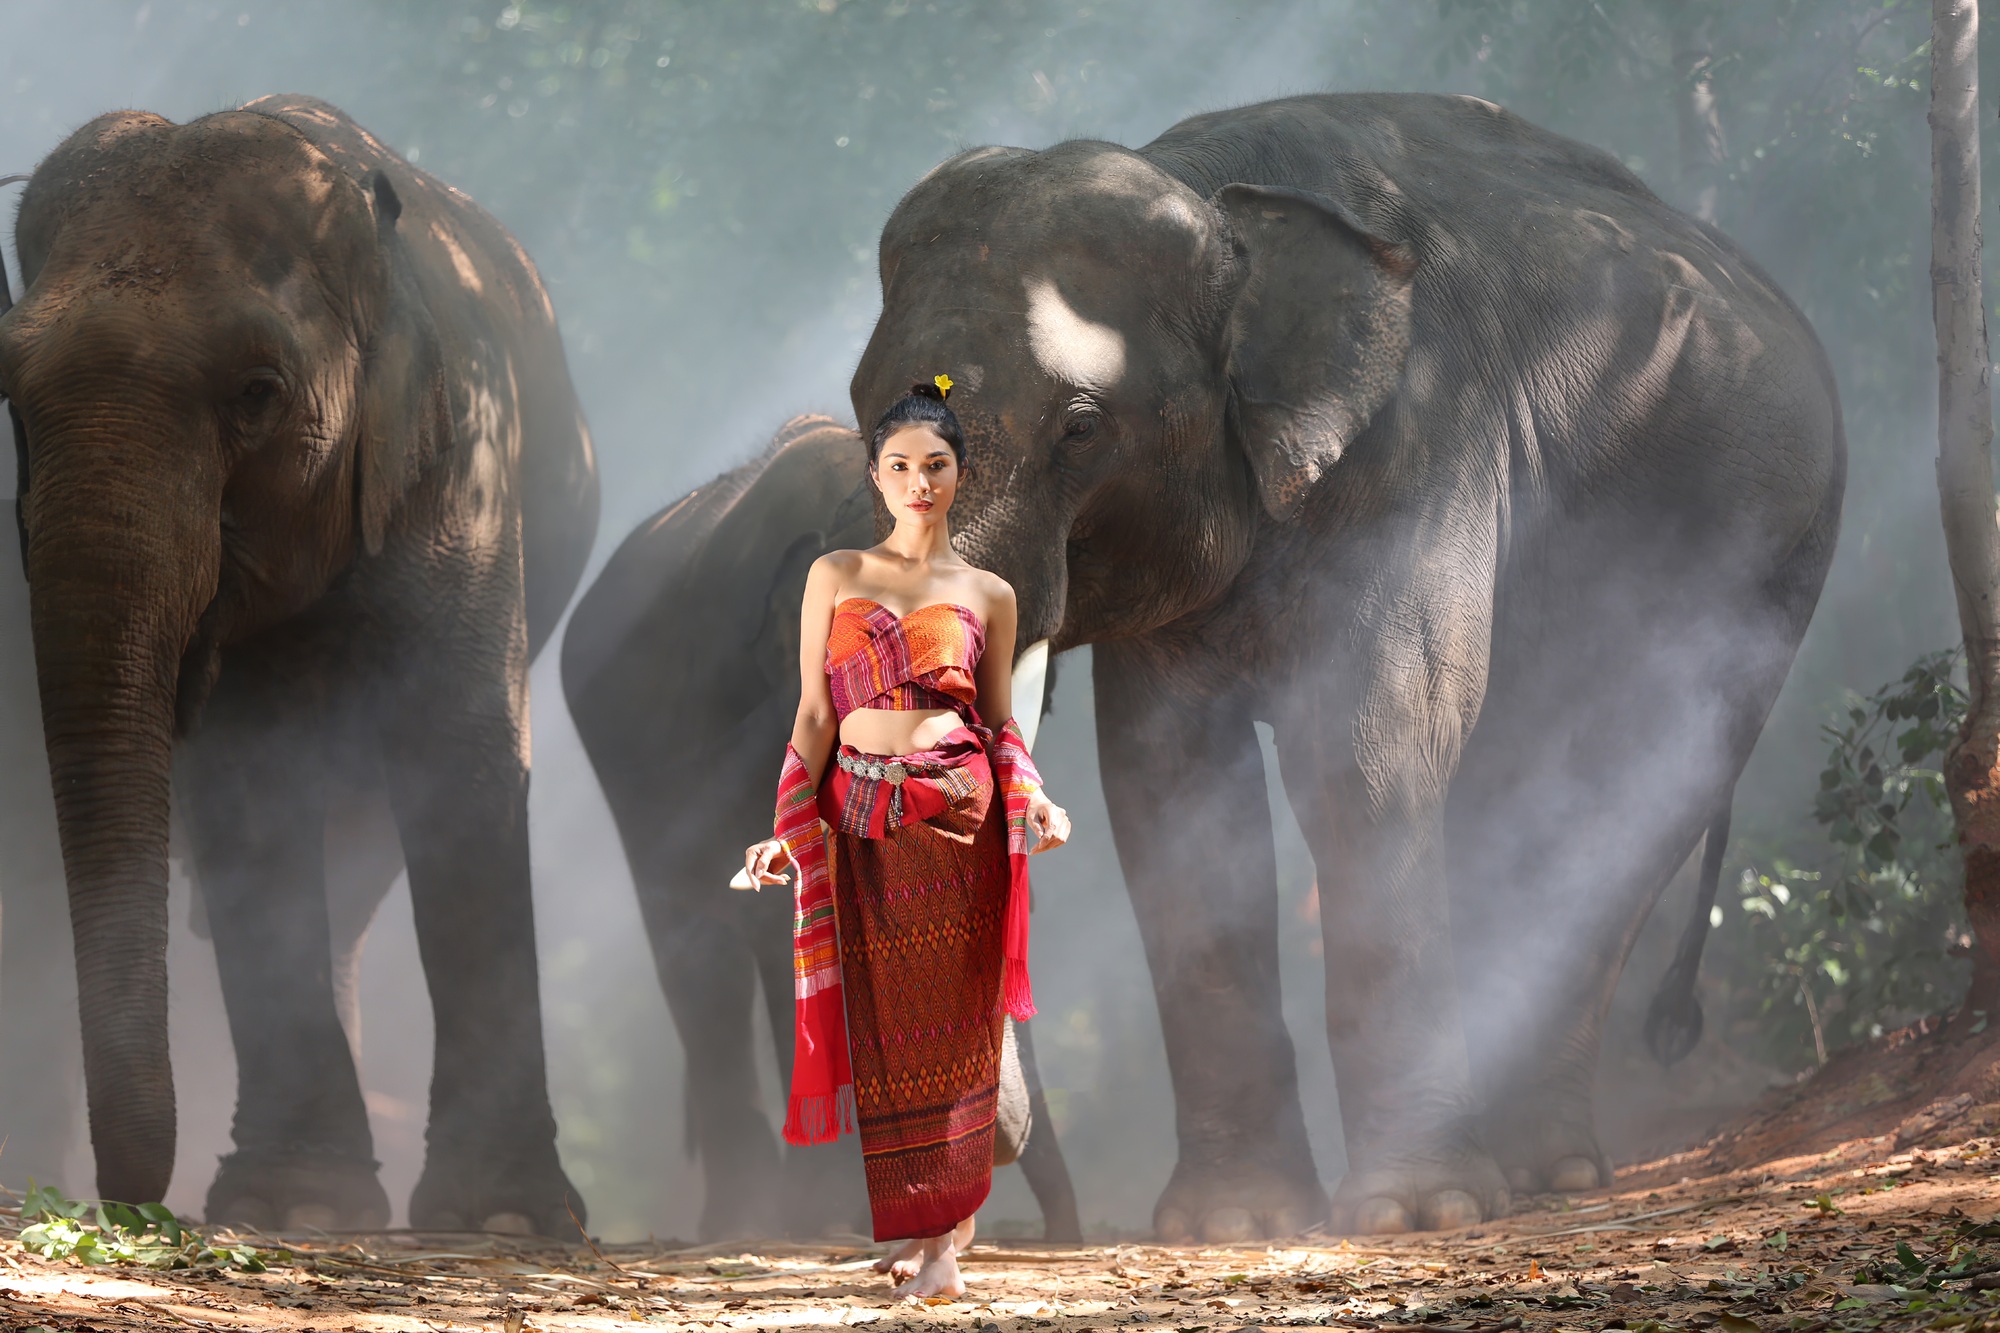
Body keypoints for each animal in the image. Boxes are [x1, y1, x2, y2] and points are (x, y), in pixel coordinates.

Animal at [0, 94, 600, 1233]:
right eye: (7, 394)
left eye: (258, 391)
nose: (130, 1201)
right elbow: (246, 791)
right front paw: (293, 1206)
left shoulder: (461, 469)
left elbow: (461, 758)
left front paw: (500, 1219)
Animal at [835, 92, 1843, 1239]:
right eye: (866, 408)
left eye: (1081, 428)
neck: (1206, 190)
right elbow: (1167, 792)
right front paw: (1233, 1224)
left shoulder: (1425, 449)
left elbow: (1365, 755)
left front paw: (1413, 1215)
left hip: (1760, 563)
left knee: (1624, 789)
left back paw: (1540, 1170)